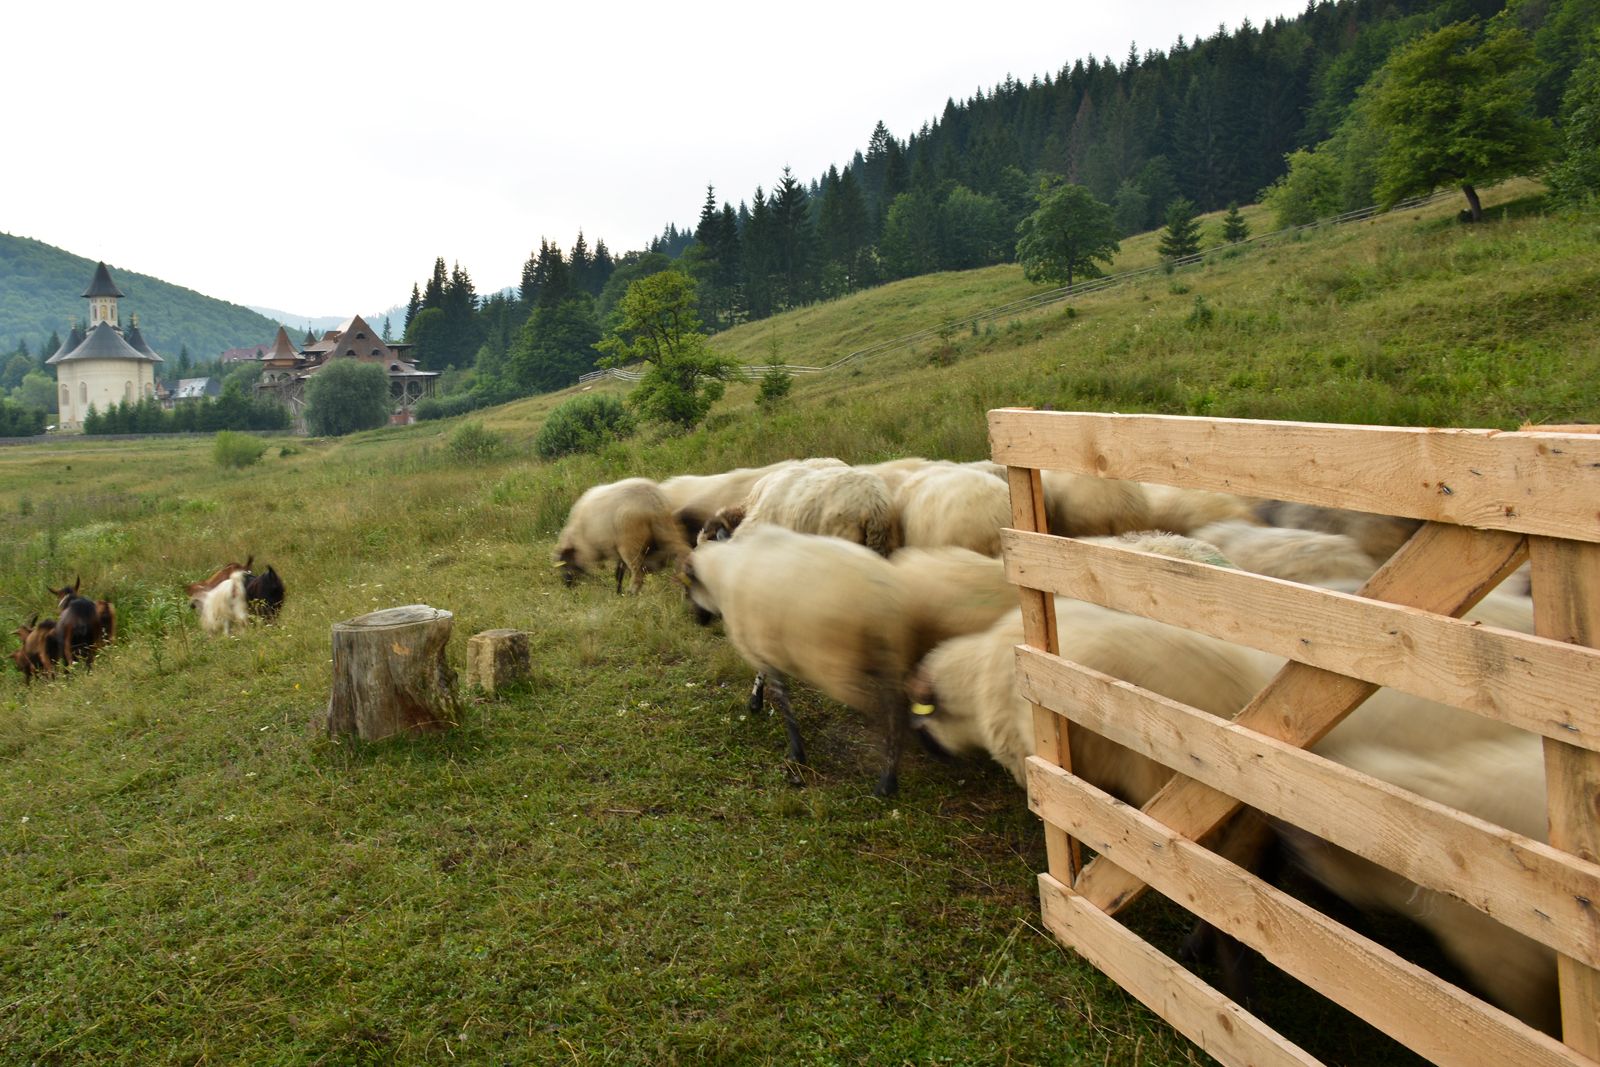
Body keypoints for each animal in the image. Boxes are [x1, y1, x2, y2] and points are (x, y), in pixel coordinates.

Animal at [554, 478, 692, 595]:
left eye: (565, 564)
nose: (567, 585)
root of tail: (651, 498)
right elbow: (619, 571)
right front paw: (618, 592)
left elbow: (619, 572)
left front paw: (619, 592)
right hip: (667, 528)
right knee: (682, 550)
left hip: (630, 543)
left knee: (637, 572)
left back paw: (632, 592)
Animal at [683, 525, 916, 796]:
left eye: (689, 586)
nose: (698, 621)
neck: (722, 572)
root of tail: (882, 599)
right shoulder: (766, 640)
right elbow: (764, 678)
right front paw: (756, 703)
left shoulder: (759, 641)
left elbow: (782, 696)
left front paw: (796, 751)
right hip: (891, 656)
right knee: (897, 710)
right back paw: (891, 778)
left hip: (837, 663)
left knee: (878, 711)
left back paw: (883, 778)